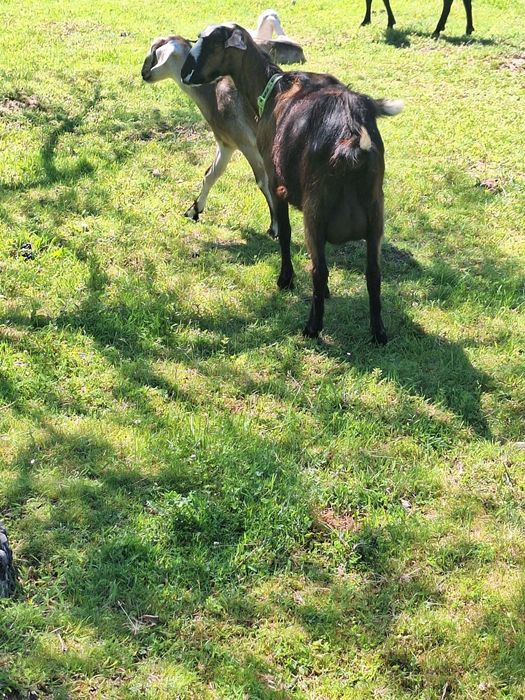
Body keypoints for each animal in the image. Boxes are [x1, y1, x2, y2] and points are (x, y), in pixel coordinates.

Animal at [142, 35, 279, 236]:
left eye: (155, 53)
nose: (143, 73)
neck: (214, 93)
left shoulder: (248, 144)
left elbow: (264, 182)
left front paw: (274, 227)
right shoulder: (226, 144)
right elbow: (211, 174)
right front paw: (194, 211)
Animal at [181, 24, 402, 344]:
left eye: (210, 43)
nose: (186, 73)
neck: (271, 88)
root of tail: (352, 139)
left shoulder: (275, 181)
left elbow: (284, 233)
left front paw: (285, 280)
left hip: (316, 210)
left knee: (319, 269)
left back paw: (312, 327)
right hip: (375, 213)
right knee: (373, 272)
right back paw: (378, 333)